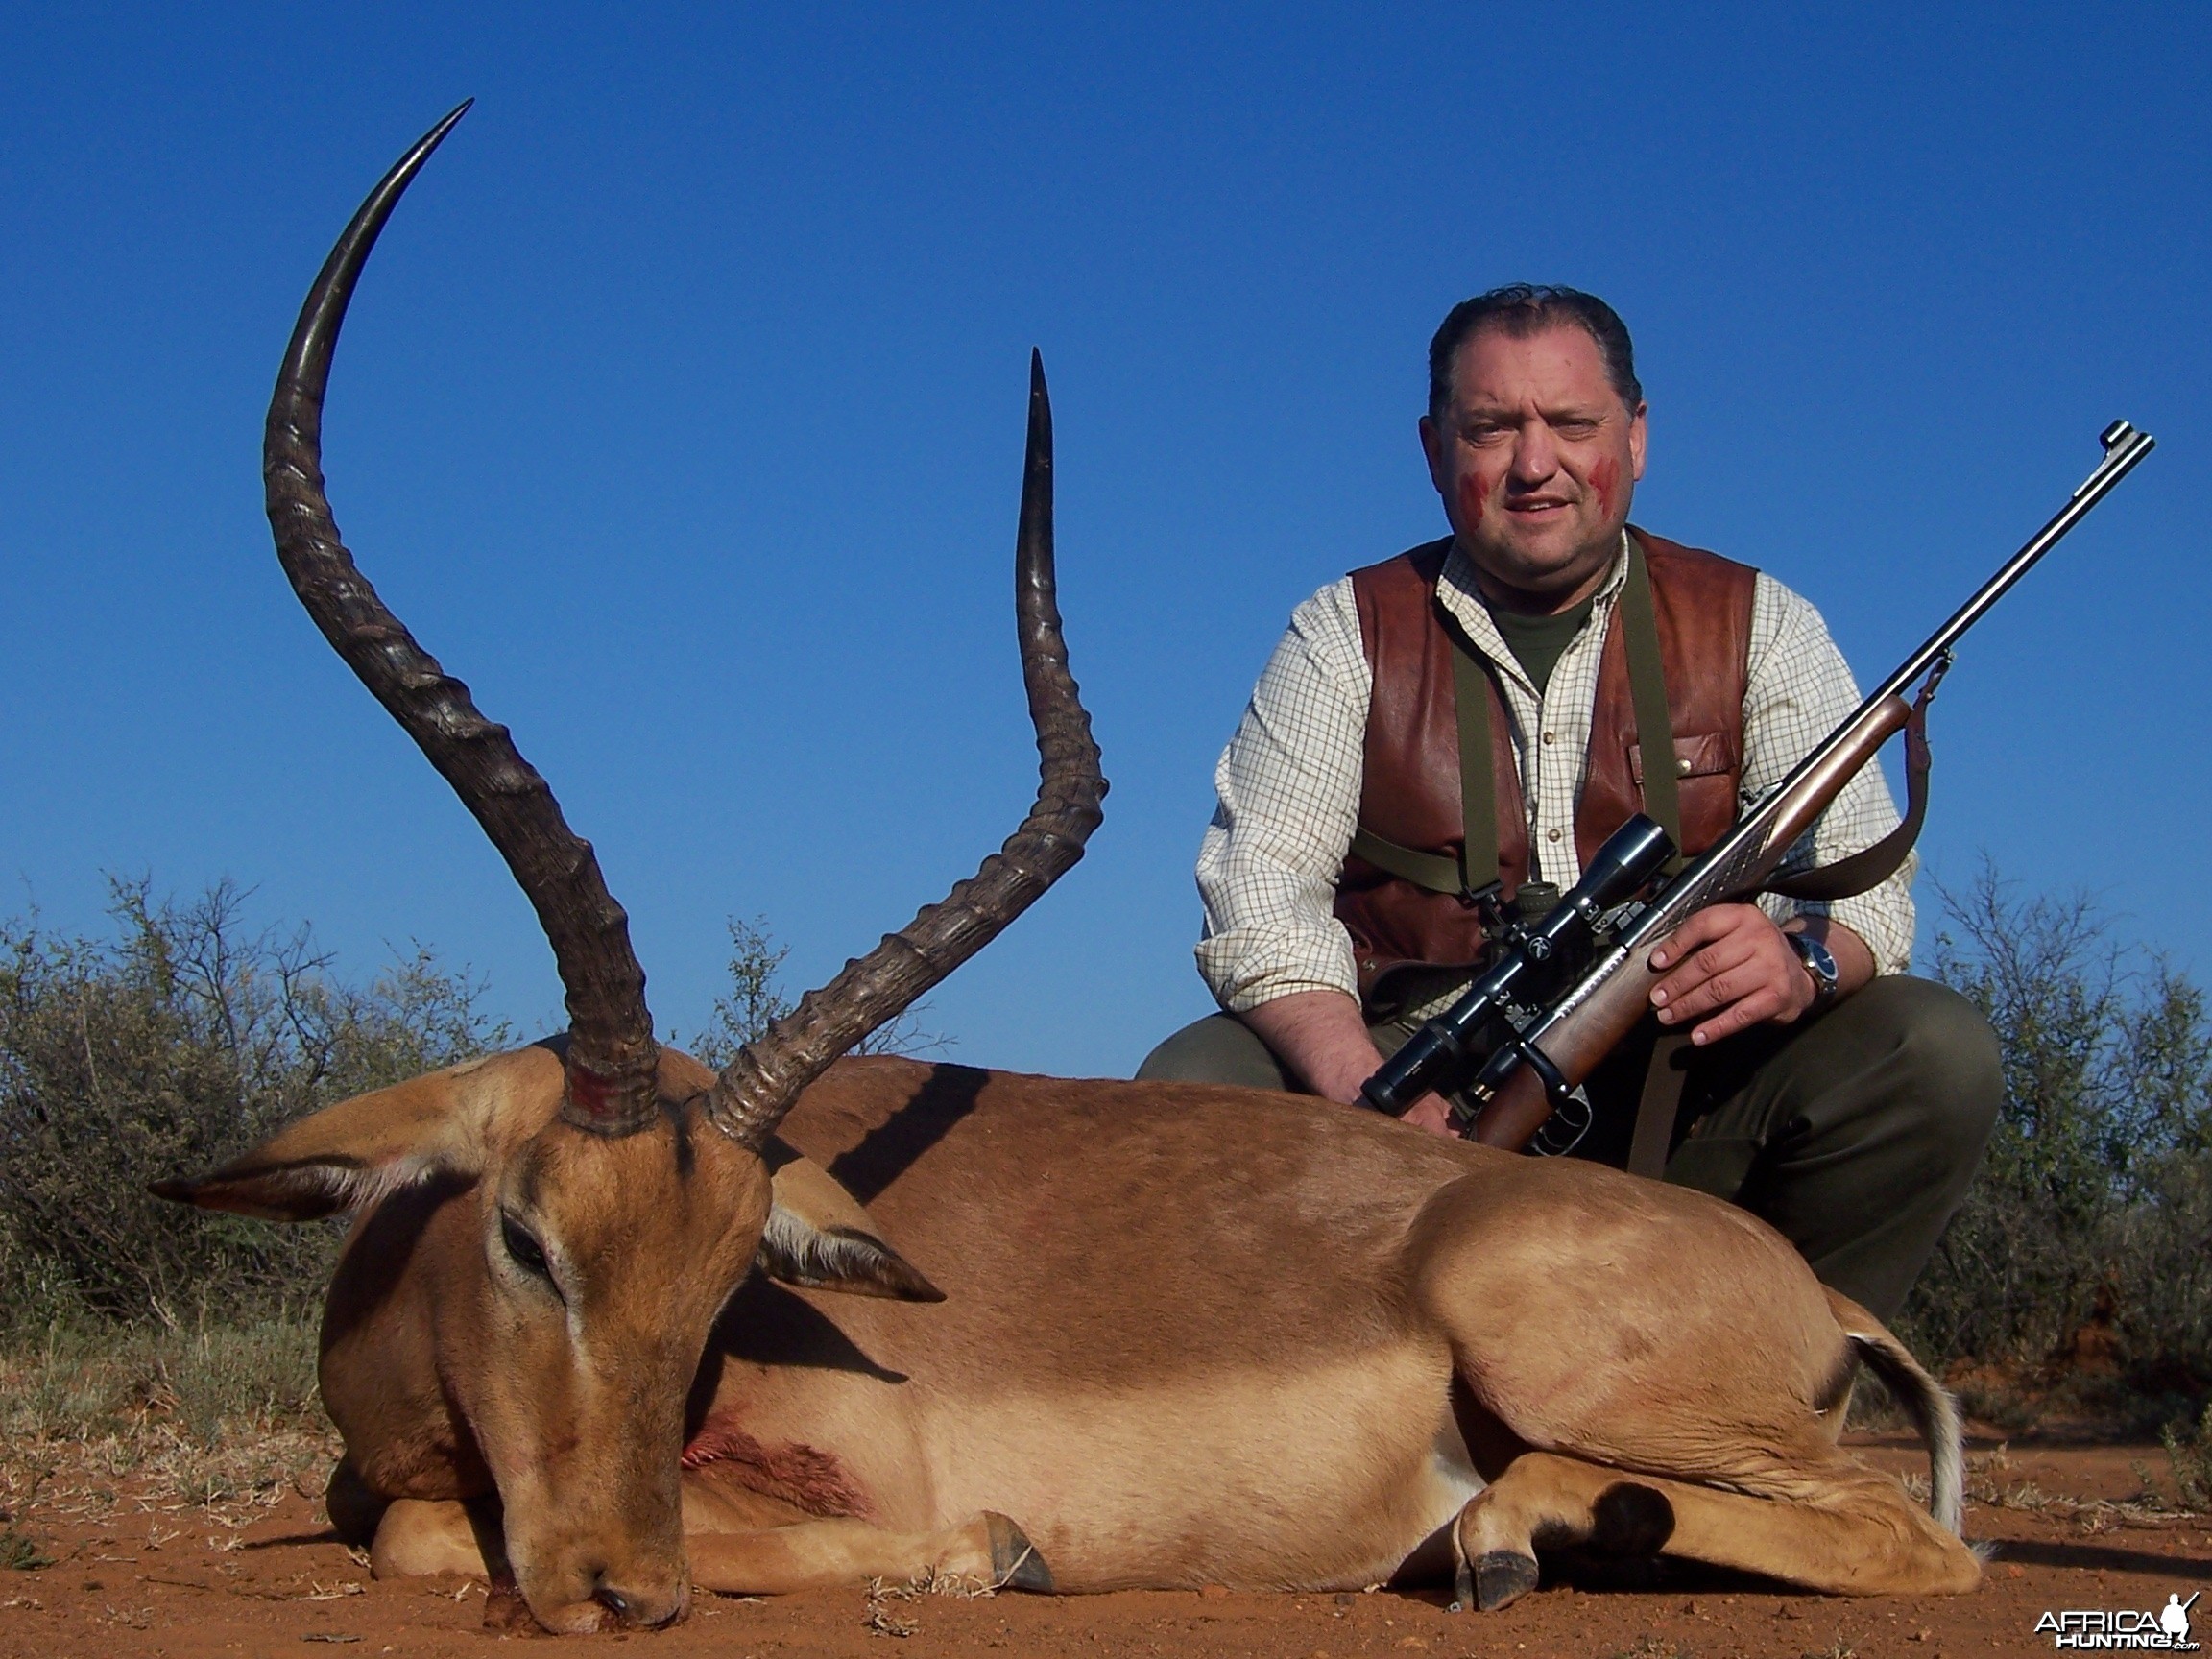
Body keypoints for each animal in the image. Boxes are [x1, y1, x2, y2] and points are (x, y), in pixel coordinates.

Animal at [160, 110, 1990, 1646]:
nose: (626, 1588)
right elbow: (375, 1511)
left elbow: (427, 1529)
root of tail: (1807, 1288)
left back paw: (1501, 1536)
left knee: (1919, 1538)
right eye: (525, 1238)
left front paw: (996, 1550)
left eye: (732, 1277)